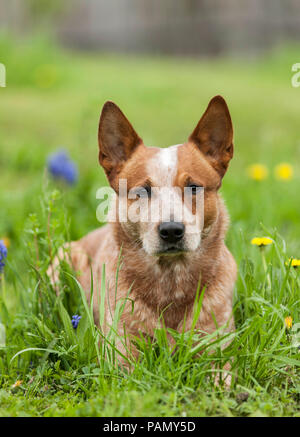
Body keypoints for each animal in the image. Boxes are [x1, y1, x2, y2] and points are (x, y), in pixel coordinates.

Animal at [48, 95, 237, 378]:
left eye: (193, 187)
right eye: (143, 191)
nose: (171, 230)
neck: (170, 282)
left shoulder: (218, 345)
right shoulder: (120, 350)